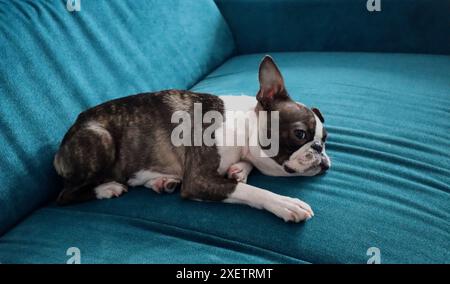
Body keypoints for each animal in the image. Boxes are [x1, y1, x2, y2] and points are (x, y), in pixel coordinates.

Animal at [54, 55, 330, 222]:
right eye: (300, 134)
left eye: (325, 138)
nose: (319, 149)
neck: (243, 128)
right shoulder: (197, 180)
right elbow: (251, 191)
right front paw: (285, 204)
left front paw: (240, 169)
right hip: (101, 138)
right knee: (66, 195)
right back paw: (107, 188)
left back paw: (161, 181)